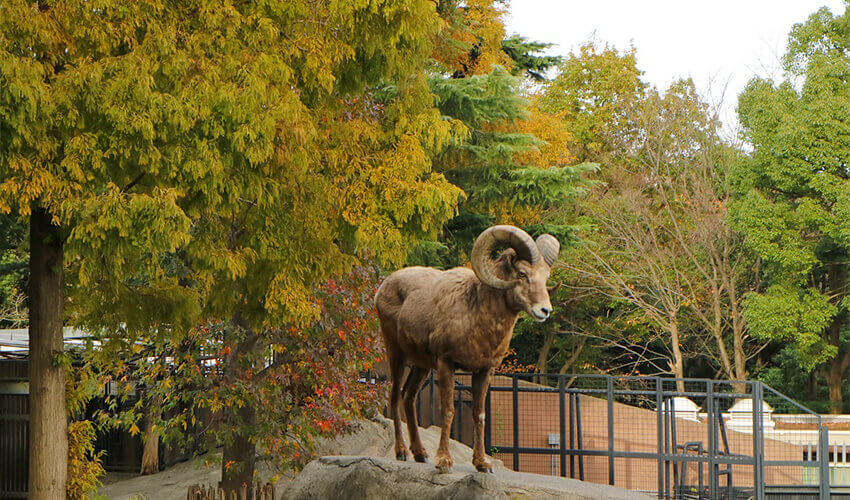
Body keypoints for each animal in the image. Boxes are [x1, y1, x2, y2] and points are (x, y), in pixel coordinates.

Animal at [372, 227, 556, 472]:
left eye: (545, 277)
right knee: (394, 397)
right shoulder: (446, 364)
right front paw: (443, 461)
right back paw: (402, 452)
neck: (476, 317)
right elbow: (448, 410)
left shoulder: (484, 371)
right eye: (522, 273)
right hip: (397, 355)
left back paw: (420, 454)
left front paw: (482, 464)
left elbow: (479, 414)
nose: (545, 310)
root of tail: (382, 289)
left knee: (408, 397)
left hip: (421, 366)